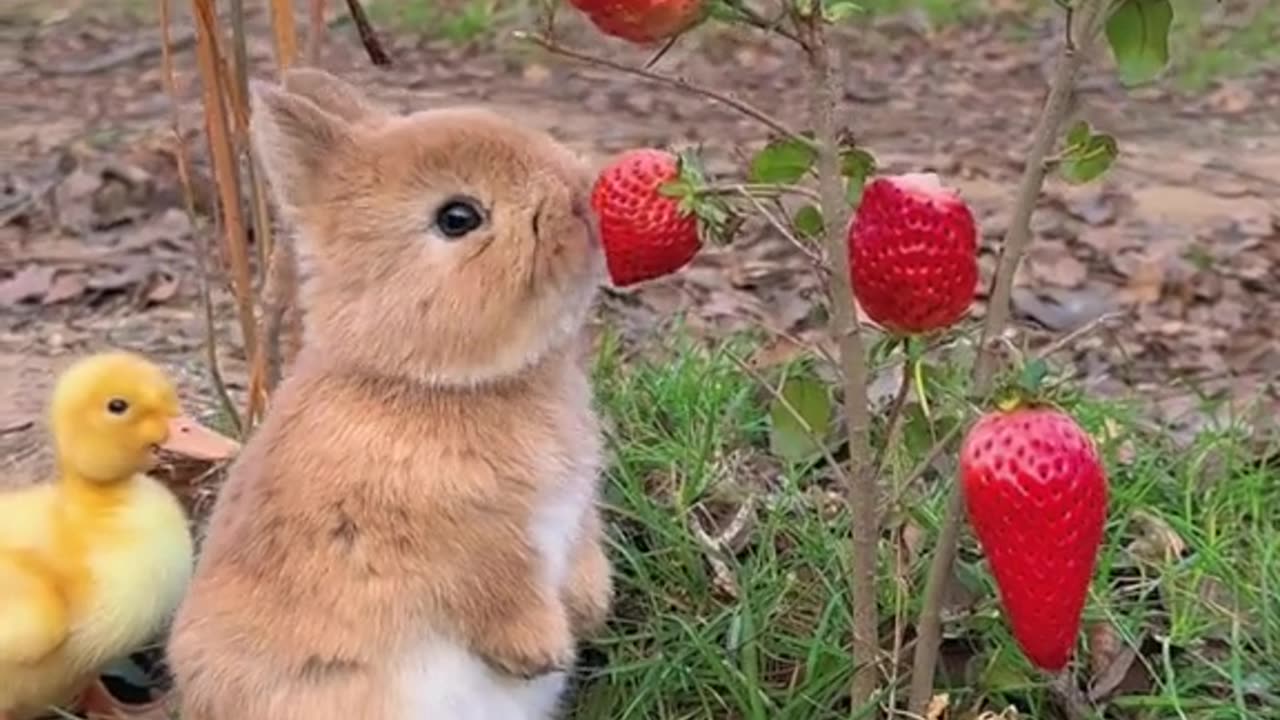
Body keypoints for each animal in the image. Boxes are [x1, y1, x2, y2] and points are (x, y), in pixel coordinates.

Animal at [167, 67, 616, 717]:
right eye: (457, 218)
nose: (583, 196)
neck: (425, 382)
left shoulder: (575, 508)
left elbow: (582, 549)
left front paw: (589, 609)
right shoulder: (453, 544)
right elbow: (496, 588)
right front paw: (542, 651)